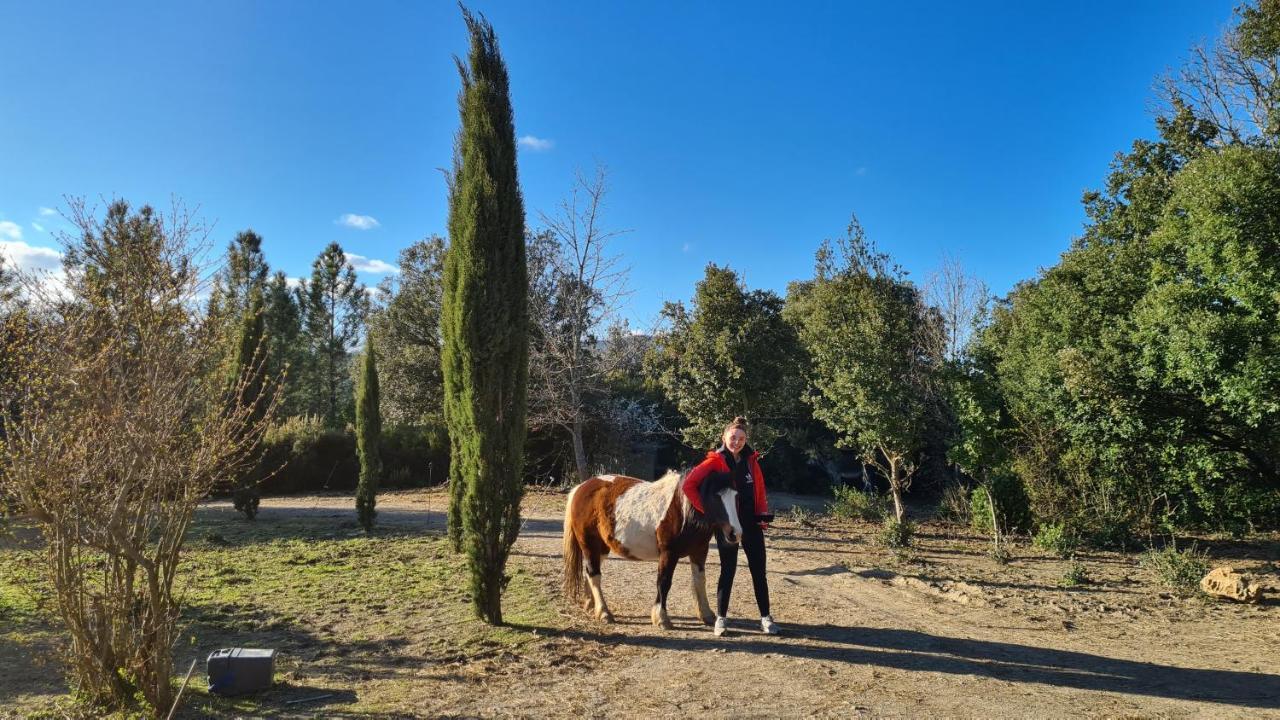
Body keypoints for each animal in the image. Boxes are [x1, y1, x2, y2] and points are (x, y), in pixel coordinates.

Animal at [558, 468, 742, 625]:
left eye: (736, 496)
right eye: (716, 497)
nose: (735, 533)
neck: (682, 509)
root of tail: (581, 487)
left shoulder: (699, 551)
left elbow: (699, 580)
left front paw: (706, 614)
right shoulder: (668, 553)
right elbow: (664, 582)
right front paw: (661, 617)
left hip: (601, 549)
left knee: (589, 573)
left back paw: (591, 605)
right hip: (589, 545)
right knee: (594, 575)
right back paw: (604, 612)